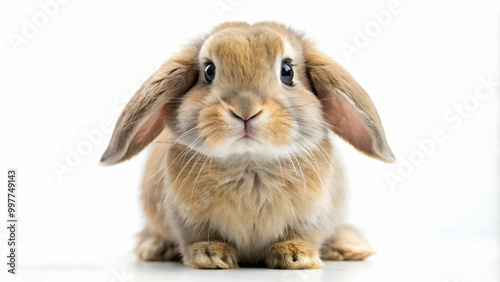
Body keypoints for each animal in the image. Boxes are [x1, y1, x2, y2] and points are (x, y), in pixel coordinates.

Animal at [100, 21, 394, 268]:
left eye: (287, 70)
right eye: (209, 71)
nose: (245, 110)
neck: (250, 163)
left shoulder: (313, 217)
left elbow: (304, 234)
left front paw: (296, 256)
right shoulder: (185, 220)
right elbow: (196, 237)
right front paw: (211, 255)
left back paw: (348, 249)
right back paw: (156, 248)